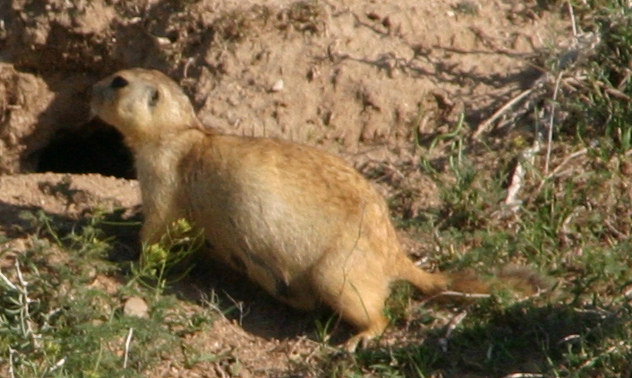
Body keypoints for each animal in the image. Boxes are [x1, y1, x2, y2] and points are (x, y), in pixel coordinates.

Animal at [90, 68, 548, 352]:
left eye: (119, 81)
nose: (89, 91)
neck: (182, 132)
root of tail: (396, 257)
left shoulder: (162, 175)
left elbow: (157, 227)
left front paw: (128, 256)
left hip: (337, 275)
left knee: (378, 314)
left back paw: (361, 338)